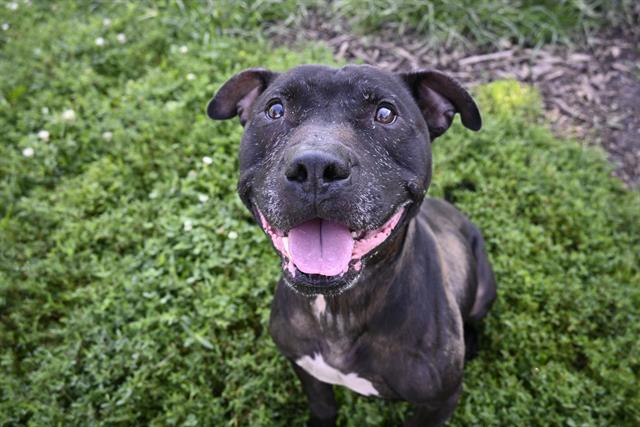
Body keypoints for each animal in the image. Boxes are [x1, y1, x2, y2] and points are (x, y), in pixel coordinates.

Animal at [208, 64, 498, 427]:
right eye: (275, 110)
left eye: (385, 114)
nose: (315, 167)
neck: (341, 309)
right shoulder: (307, 370)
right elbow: (323, 408)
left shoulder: (439, 401)